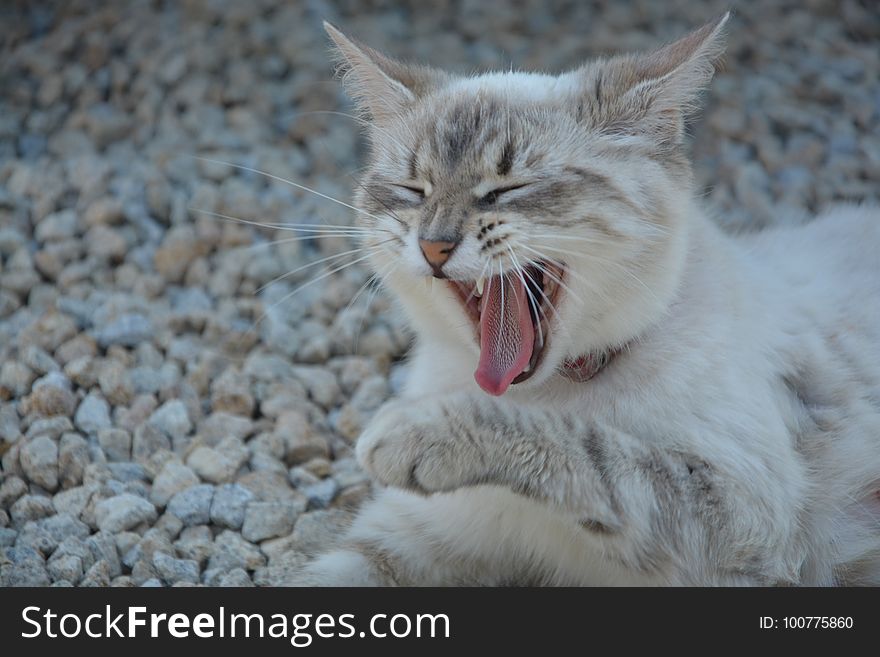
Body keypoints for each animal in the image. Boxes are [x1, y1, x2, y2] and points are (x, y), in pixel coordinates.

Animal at [294, 14, 880, 584]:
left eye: (508, 189)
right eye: (413, 191)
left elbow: (589, 446)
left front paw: (410, 434)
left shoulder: (741, 515)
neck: (554, 386)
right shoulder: (407, 539)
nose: (434, 244)